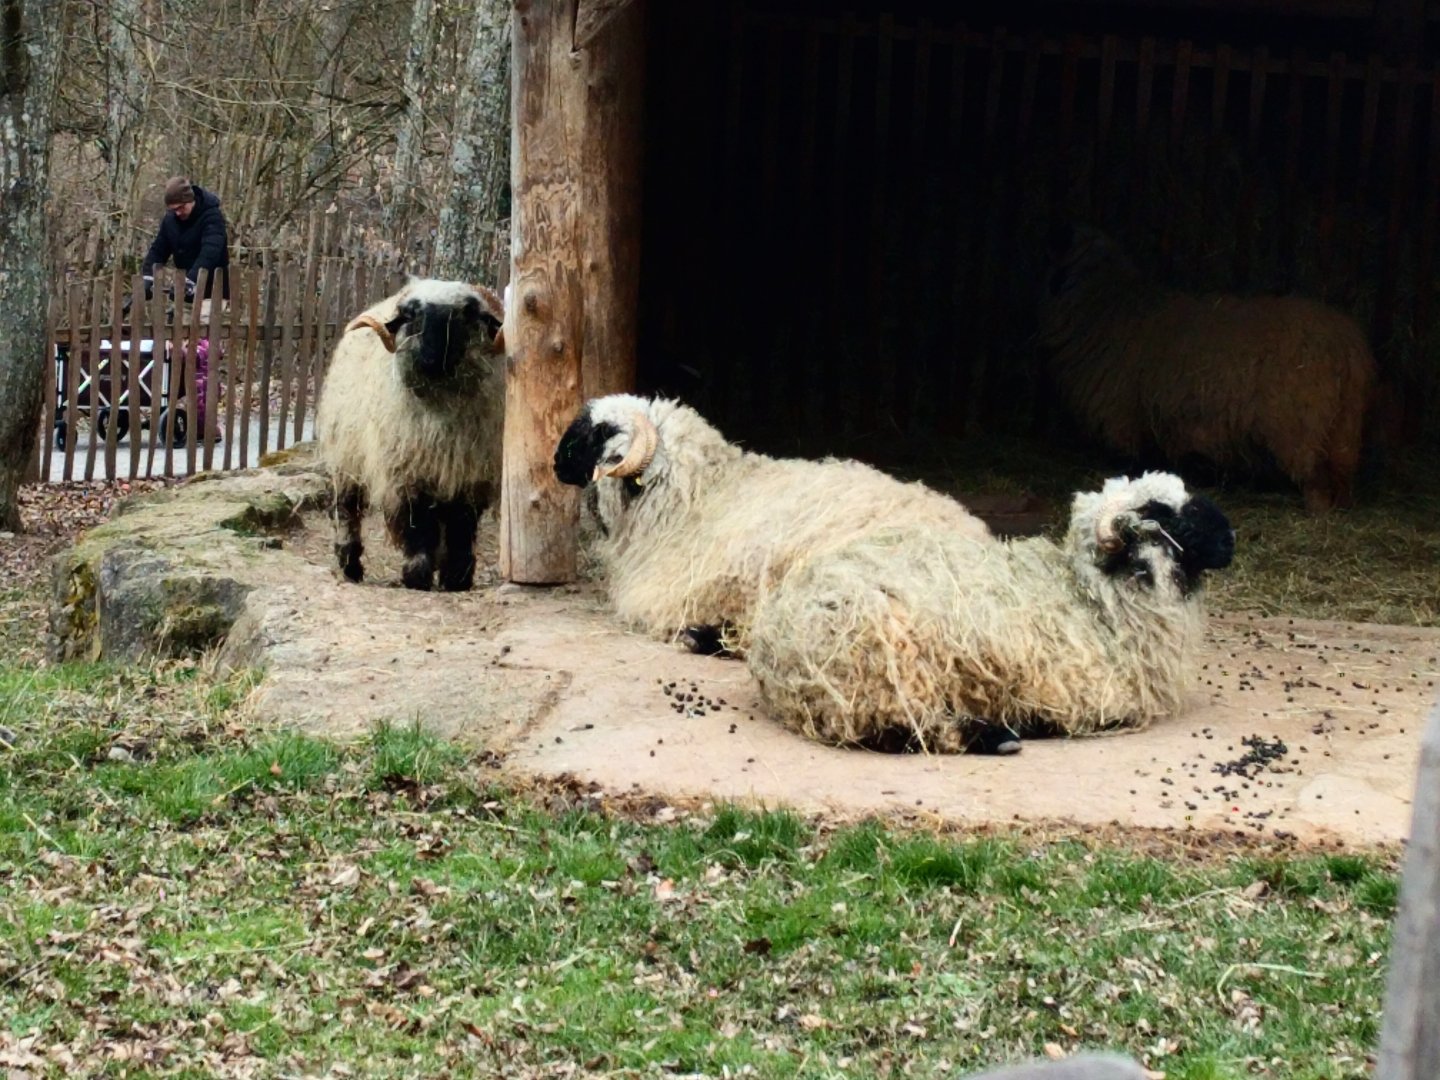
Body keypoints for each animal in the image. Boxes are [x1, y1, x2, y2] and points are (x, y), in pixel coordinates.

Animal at [316, 277, 505, 591]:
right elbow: (418, 524)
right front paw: (417, 575)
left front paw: (457, 578)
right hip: (346, 457)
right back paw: (349, 564)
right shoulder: (408, 471)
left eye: (468, 313)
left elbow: (461, 527)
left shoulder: (469, 476)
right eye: (411, 314)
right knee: (347, 509)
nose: (432, 358)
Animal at [746, 471, 1235, 754]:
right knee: (902, 731)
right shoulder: (1085, 696)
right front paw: (1033, 723)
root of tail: (771, 642)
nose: (1229, 538)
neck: (1091, 601)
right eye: (1162, 515)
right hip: (882, 673)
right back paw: (996, 737)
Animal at [1038, 224, 1377, 513]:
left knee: (1313, 475)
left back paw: (1317, 514)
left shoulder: (1121, 416)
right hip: (1343, 421)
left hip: (1300, 421)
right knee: (1342, 469)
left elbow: (1129, 460)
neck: (1108, 305)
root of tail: (1346, 344)